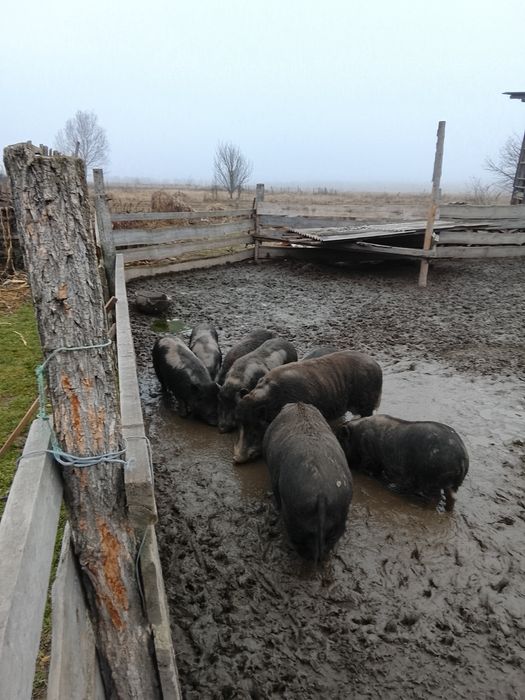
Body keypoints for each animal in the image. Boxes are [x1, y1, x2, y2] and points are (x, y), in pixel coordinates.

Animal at [335, 415, 469, 511]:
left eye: (340, 440)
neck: (357, 436)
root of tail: (462, 455)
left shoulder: (369, 458)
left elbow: (370, 470)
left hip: (433, 480)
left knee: (435, 498)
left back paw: (424, 508)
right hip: (451, 484)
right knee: (452, 497)